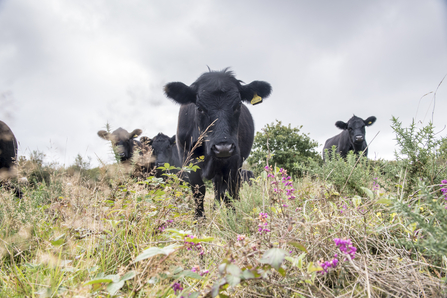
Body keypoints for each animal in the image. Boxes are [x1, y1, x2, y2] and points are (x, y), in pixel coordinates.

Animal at [164, 68, 272, 217]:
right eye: (199, 108)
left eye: (238, 105)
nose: (223, 148)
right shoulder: (188, 161)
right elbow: (199, 192)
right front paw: (199, 219)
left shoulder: (233, 161)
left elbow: (228, 193)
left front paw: (231, 217)